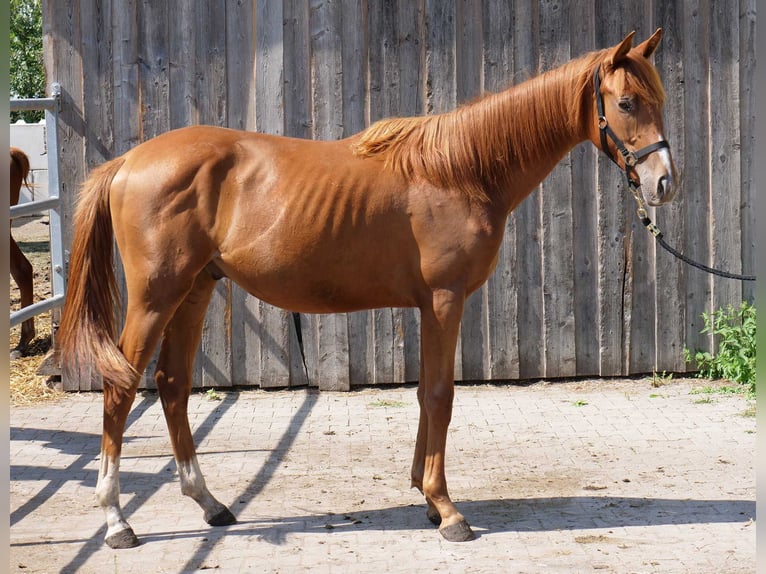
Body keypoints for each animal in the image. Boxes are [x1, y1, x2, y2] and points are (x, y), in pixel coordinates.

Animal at [54, 30, 680, 548]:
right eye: (626, 103)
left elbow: (427, 392)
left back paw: (210, 504)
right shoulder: (446, 299)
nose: (664, 184)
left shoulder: (430, 305)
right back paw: (117, 522)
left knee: (173, 385)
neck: (460, 170)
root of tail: (129, 160)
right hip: (155, 297)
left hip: (195, 290)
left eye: (660, 100)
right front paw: (448, 511)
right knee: (121, 389)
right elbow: (440, 395)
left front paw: (426, 497)